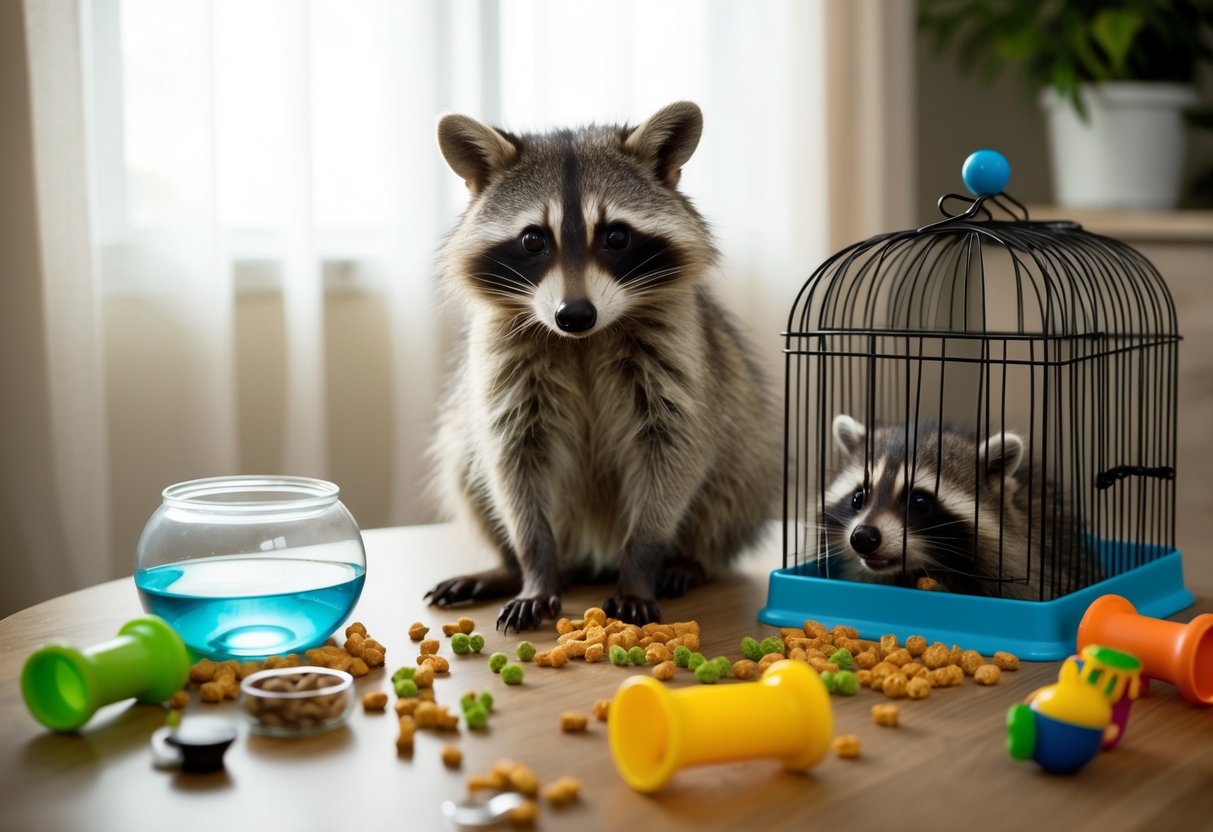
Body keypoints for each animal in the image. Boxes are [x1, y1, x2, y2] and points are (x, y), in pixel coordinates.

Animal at [424, 102, 780, 632]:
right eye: (532, 240)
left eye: (615, 236)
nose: (574, 315)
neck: (583, 342)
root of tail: (592, 554)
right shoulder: (503, 361)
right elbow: (511, 458)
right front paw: (533, 569)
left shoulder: (680, 352)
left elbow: (676, 450)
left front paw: (641, 565)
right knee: (466, 464)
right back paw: (509, 568)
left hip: (746, 447)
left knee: (734, 479)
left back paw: (688, 560)